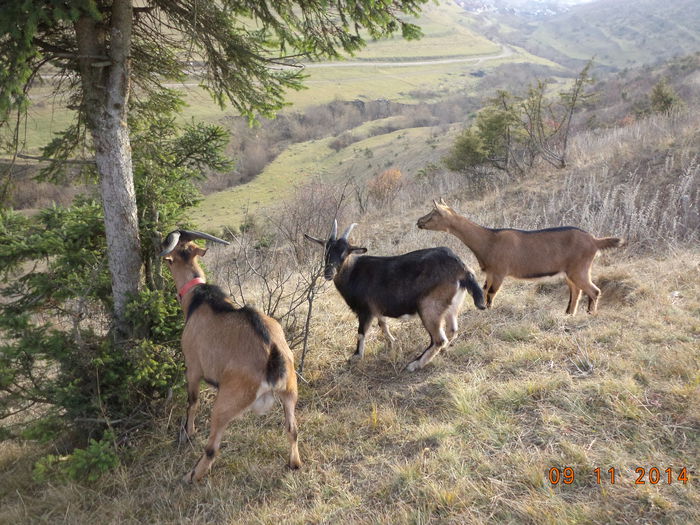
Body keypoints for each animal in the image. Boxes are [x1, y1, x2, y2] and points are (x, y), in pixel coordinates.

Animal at [160, 229, 300, 484]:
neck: (198, 299)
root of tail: (271, 356)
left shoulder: (193, 367)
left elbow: (192, 401)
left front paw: (188, 432)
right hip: (290, 393)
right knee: (292, 430)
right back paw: (294, 463)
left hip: (225, 402)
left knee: (212, 448)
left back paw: (191, 476)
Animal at [306, 220, 486, 368]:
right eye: (326, 251)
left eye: (344, 253)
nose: (328, 273)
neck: (353, 272)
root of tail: (462, 269)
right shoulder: (377, 308)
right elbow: (382, 324)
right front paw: (393, 342)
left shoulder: (365, 310)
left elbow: (361, 333)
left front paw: (356, 356)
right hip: (452, 306)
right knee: (452, 330)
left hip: (429, 306)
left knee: (439, 339)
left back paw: (415, 364)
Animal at [418, 201, 628, 314]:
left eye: (434, 214)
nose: (419, 221)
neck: (488, 239)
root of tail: (594, 240)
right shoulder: (491, 272)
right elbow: (485, 290)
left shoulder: (500, 271)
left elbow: (491, 292)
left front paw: (489, 311)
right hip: (571, 271)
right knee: (576, 291)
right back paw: (568, 314)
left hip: (580, 268)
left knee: (594, 290)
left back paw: (589, 313)